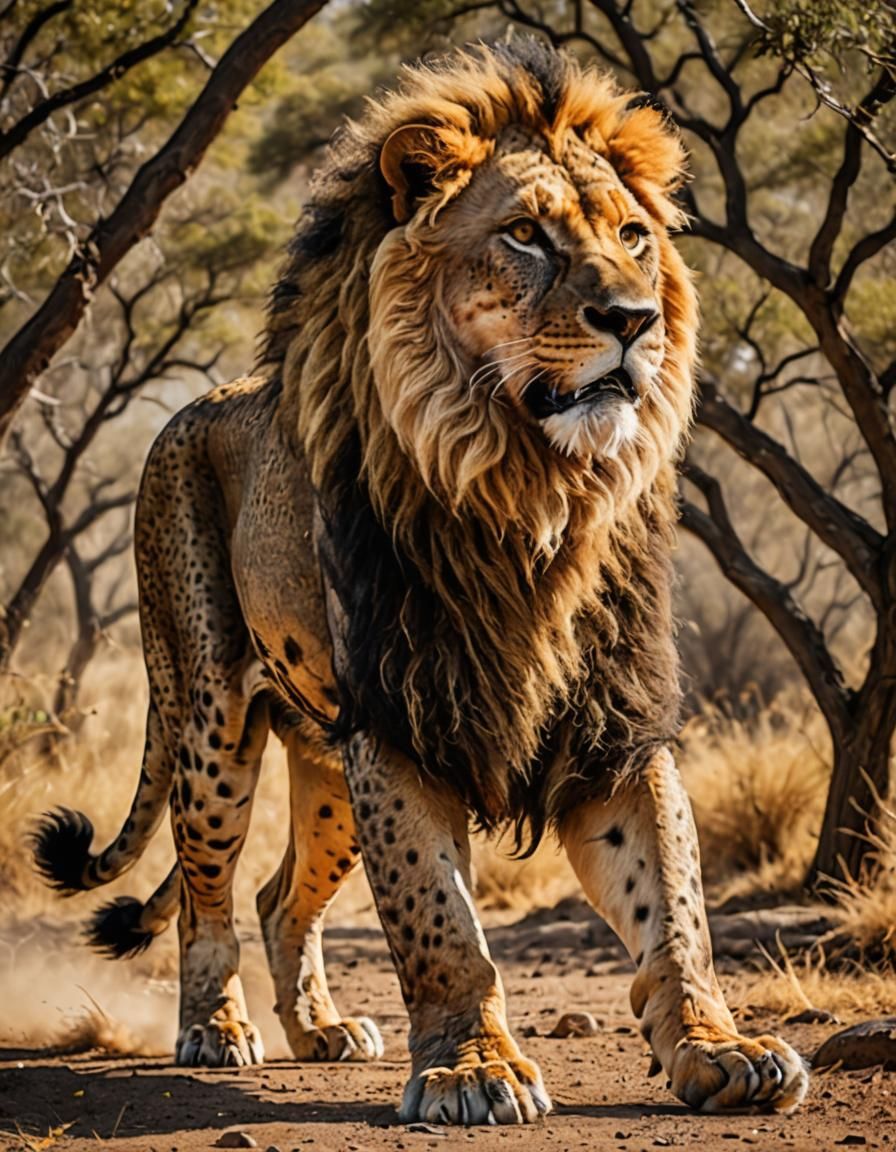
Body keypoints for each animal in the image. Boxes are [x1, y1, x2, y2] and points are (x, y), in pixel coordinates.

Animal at [33, 38, 808, 1123]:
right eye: (525, 235)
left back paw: (319, 1029)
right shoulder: (404, 717)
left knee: (280, 897)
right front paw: (472, 1070)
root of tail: (193, 406)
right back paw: (216, 1028)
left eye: (632, 236)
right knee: (206, 893)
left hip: (325, 762)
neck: (530, 492)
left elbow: (675, 904)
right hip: (211, 719)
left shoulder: (613, 720)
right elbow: (439, 920)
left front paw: (720, 1049)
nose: (633, 319)